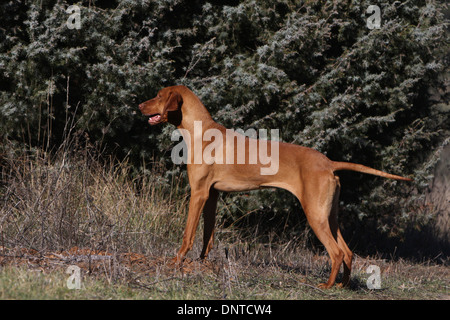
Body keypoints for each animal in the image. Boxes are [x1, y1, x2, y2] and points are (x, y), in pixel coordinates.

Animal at [138, 84, 412, 288]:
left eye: (159, 96)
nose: (139, 105)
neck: (201, 132)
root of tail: (328, 163)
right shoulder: (212, 195)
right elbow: (208, 237)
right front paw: (202, 264)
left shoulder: (198, 193)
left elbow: (188, 235)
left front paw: (176, 263)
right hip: (329, 215)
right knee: (347, 251)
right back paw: (342, 285)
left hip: (315, 214)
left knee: (336, 252)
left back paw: (327, 286)